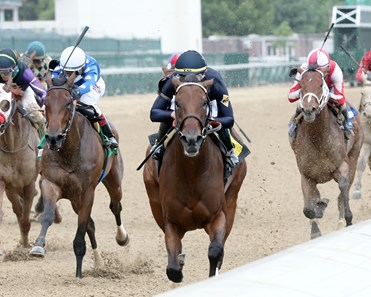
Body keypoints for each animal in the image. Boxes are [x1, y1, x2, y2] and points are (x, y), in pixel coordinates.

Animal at [29, 74, 130, 278]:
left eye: (68, 103)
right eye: (45, 102)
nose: (54, 138)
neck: (69, 152)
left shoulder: (87, 192)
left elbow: (81, 229)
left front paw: (78, 273)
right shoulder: (50, 183)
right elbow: (48, 216)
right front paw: (38, 246)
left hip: (114, 180)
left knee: (115, 206)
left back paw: (122, 237)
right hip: (75, 198)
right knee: (91, 225)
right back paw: (99, 262)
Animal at [144, 74, 248, 282]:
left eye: (204, 103)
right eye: (177, 103)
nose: (191, 140)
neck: (191, 175)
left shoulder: (218, 215)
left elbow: (215, 251)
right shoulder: (171, 221)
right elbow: (173, 268)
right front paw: (178, 266)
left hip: (232, 197)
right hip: (153, 199)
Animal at [290, 67, 364, 238]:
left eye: (320, 84)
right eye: (301, 85)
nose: (308, 110)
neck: (317, 138)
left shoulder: (342, 165)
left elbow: (343, 187)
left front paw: (347, 219)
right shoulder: (307, 175)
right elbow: (309, 209)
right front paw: (317, 219)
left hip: (354, 155)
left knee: (344, 190)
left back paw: (341, 221)